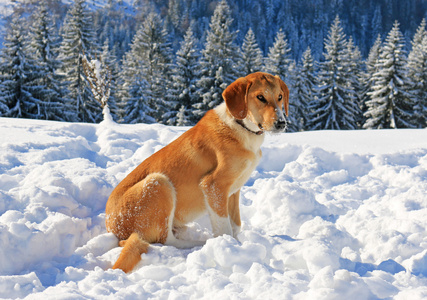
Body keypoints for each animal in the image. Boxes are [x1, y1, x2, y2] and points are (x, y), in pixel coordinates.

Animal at [105, 72, 290, 272]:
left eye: (280, 96)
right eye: (260, 97)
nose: (281, 123)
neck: (240, 126)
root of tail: (113, 230)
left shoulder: (234, 190)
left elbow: (236, 224)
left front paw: (237, 244)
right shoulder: (213, 186)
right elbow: (224, 227)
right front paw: (227, 245)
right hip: (158, 182)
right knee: (166, 240)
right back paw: (198, 244)